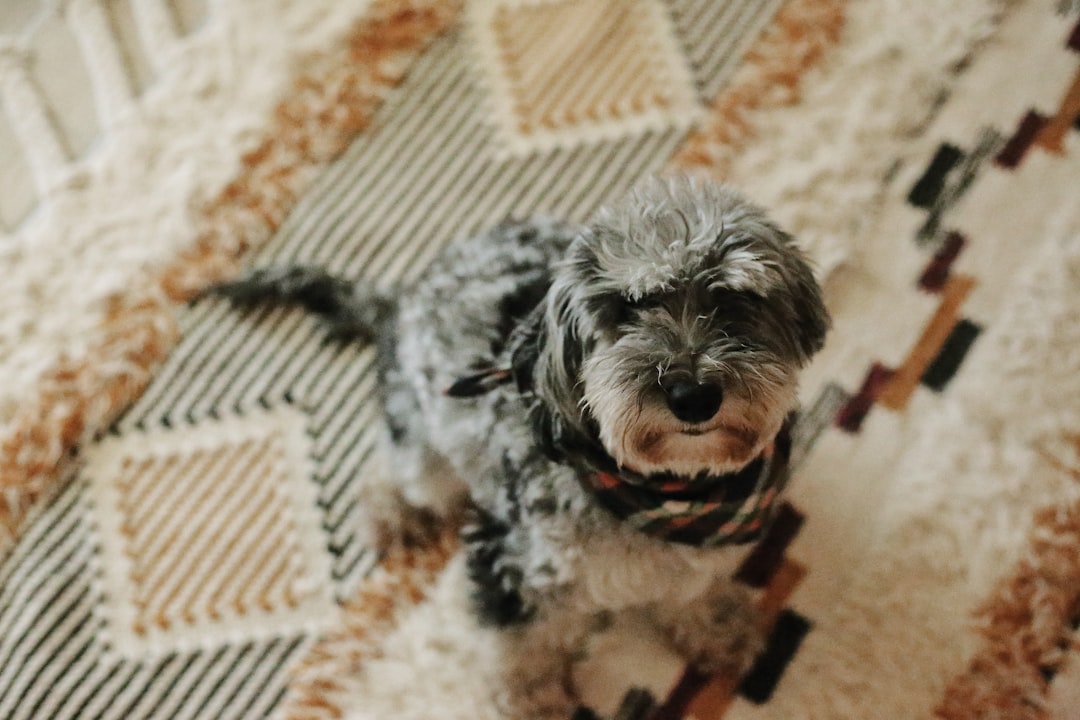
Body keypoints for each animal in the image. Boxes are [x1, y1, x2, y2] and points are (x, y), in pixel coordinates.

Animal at [214, 175, 829, 720]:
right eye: (625, 309)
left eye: (734, 299)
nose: (693, 395)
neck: (667, 490)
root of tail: (403, 295)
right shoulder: (507, 555)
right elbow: (522, 647)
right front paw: (531, 700)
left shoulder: (697, 552)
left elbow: (692, 590)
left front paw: (720, 628)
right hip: (427, 450)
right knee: (391, 464)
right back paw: (394, 515)